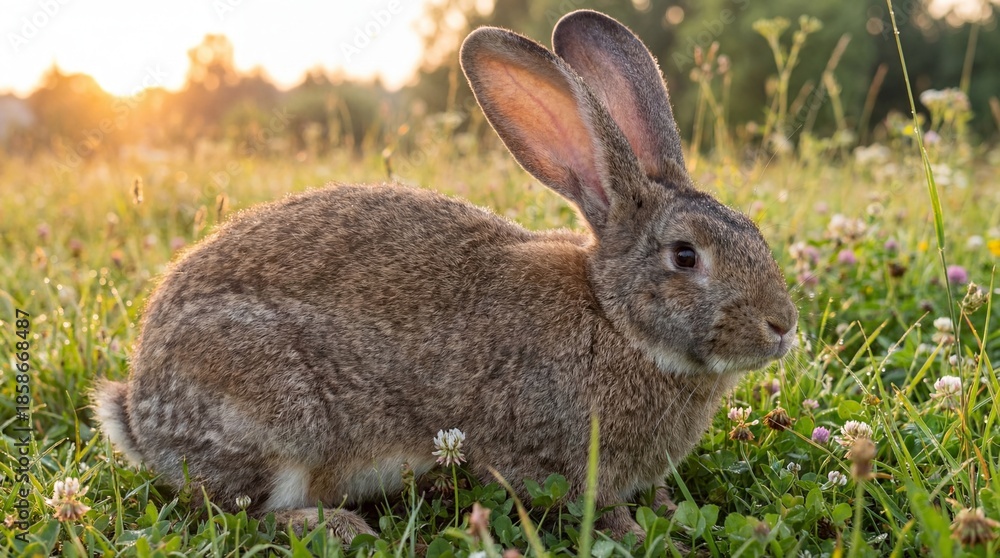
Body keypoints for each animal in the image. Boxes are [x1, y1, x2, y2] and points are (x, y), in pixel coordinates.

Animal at [92, 9, 798, 544]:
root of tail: (141, 415)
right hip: (273, 412)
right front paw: (637, 531)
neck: (615, 321)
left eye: (754, 232)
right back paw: (338, 527)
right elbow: (586, 507)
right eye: (686, 256)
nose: (783, 326)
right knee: (246, 512)